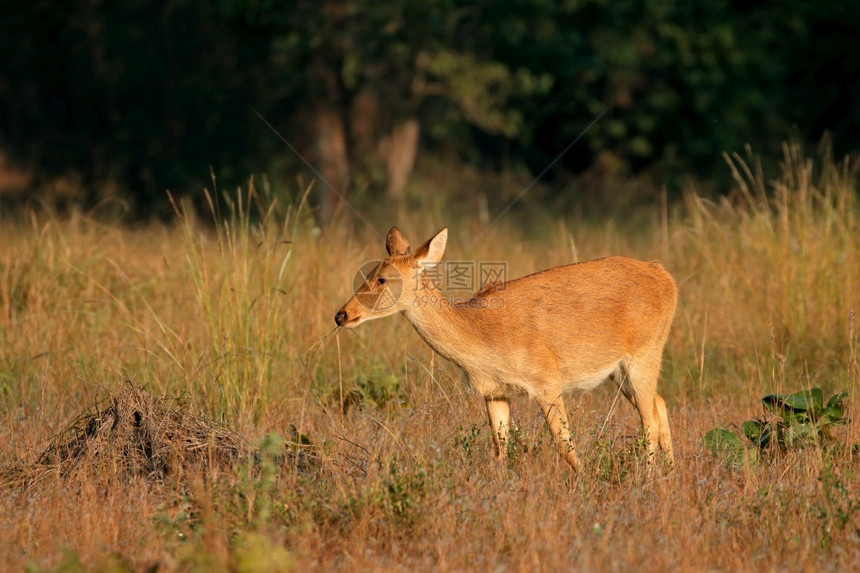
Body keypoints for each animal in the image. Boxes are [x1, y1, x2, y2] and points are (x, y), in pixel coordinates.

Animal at [332, 226, 676, 472]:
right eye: (368, 273)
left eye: (382, 279)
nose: (341, 315)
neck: (484, 341)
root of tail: (665, 275)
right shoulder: (495, 392)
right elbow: (500, 451)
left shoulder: (546, 380)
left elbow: (565, 446)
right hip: (620, 371)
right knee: (659, 405)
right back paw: (670, 475)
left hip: (646, 353)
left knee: (648, 421)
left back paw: (647, 479)